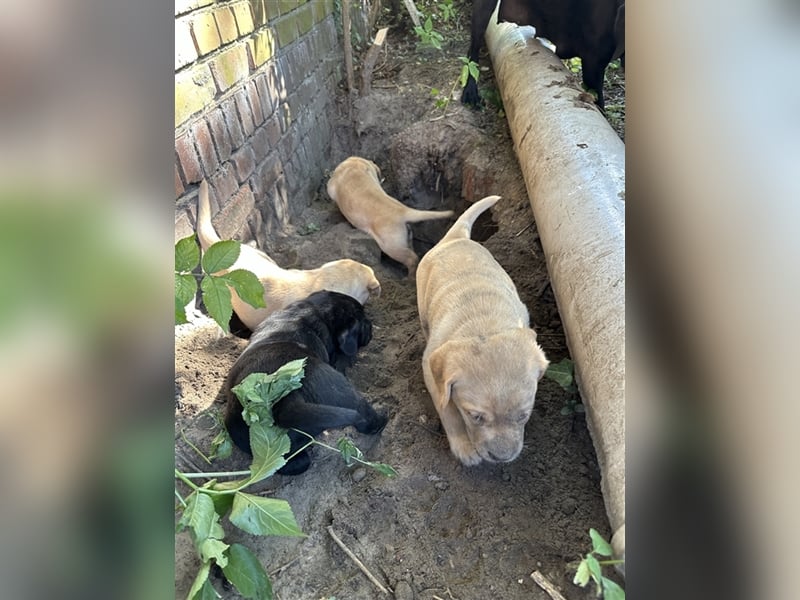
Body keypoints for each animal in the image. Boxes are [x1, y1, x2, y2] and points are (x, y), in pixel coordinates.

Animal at [223, 288, 390, 476]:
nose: (371, 325)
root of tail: (284, 401)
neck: (313, 309)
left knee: (295, 463)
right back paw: (381, 417)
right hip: (338, 387)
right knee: (363, 412)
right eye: (363, 321)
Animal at [416, 195, 548, 466]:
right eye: (474, 416)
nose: (502, 457)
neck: (484, 326)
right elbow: (447, 408)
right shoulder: (432, 371)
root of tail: (456, 237)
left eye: (523, 415)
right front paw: (464, 447)